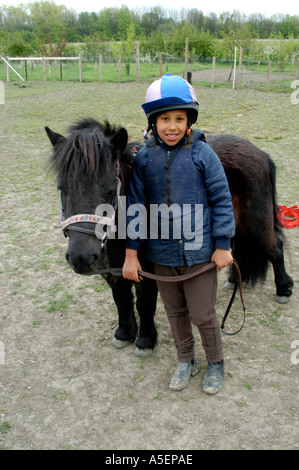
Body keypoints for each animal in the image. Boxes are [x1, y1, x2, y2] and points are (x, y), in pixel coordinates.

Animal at [46, 119, 292, 354]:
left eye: (109, 190)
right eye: (61, 188)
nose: (81, 258)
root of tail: (259, 152)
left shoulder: (147, 271)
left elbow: (144, 303)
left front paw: (145, 340)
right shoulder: (112, 271)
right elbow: (122, 300)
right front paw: (124, 334)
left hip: (256, 225)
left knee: (275, 249)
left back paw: (283, 289)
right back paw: (234, 279)